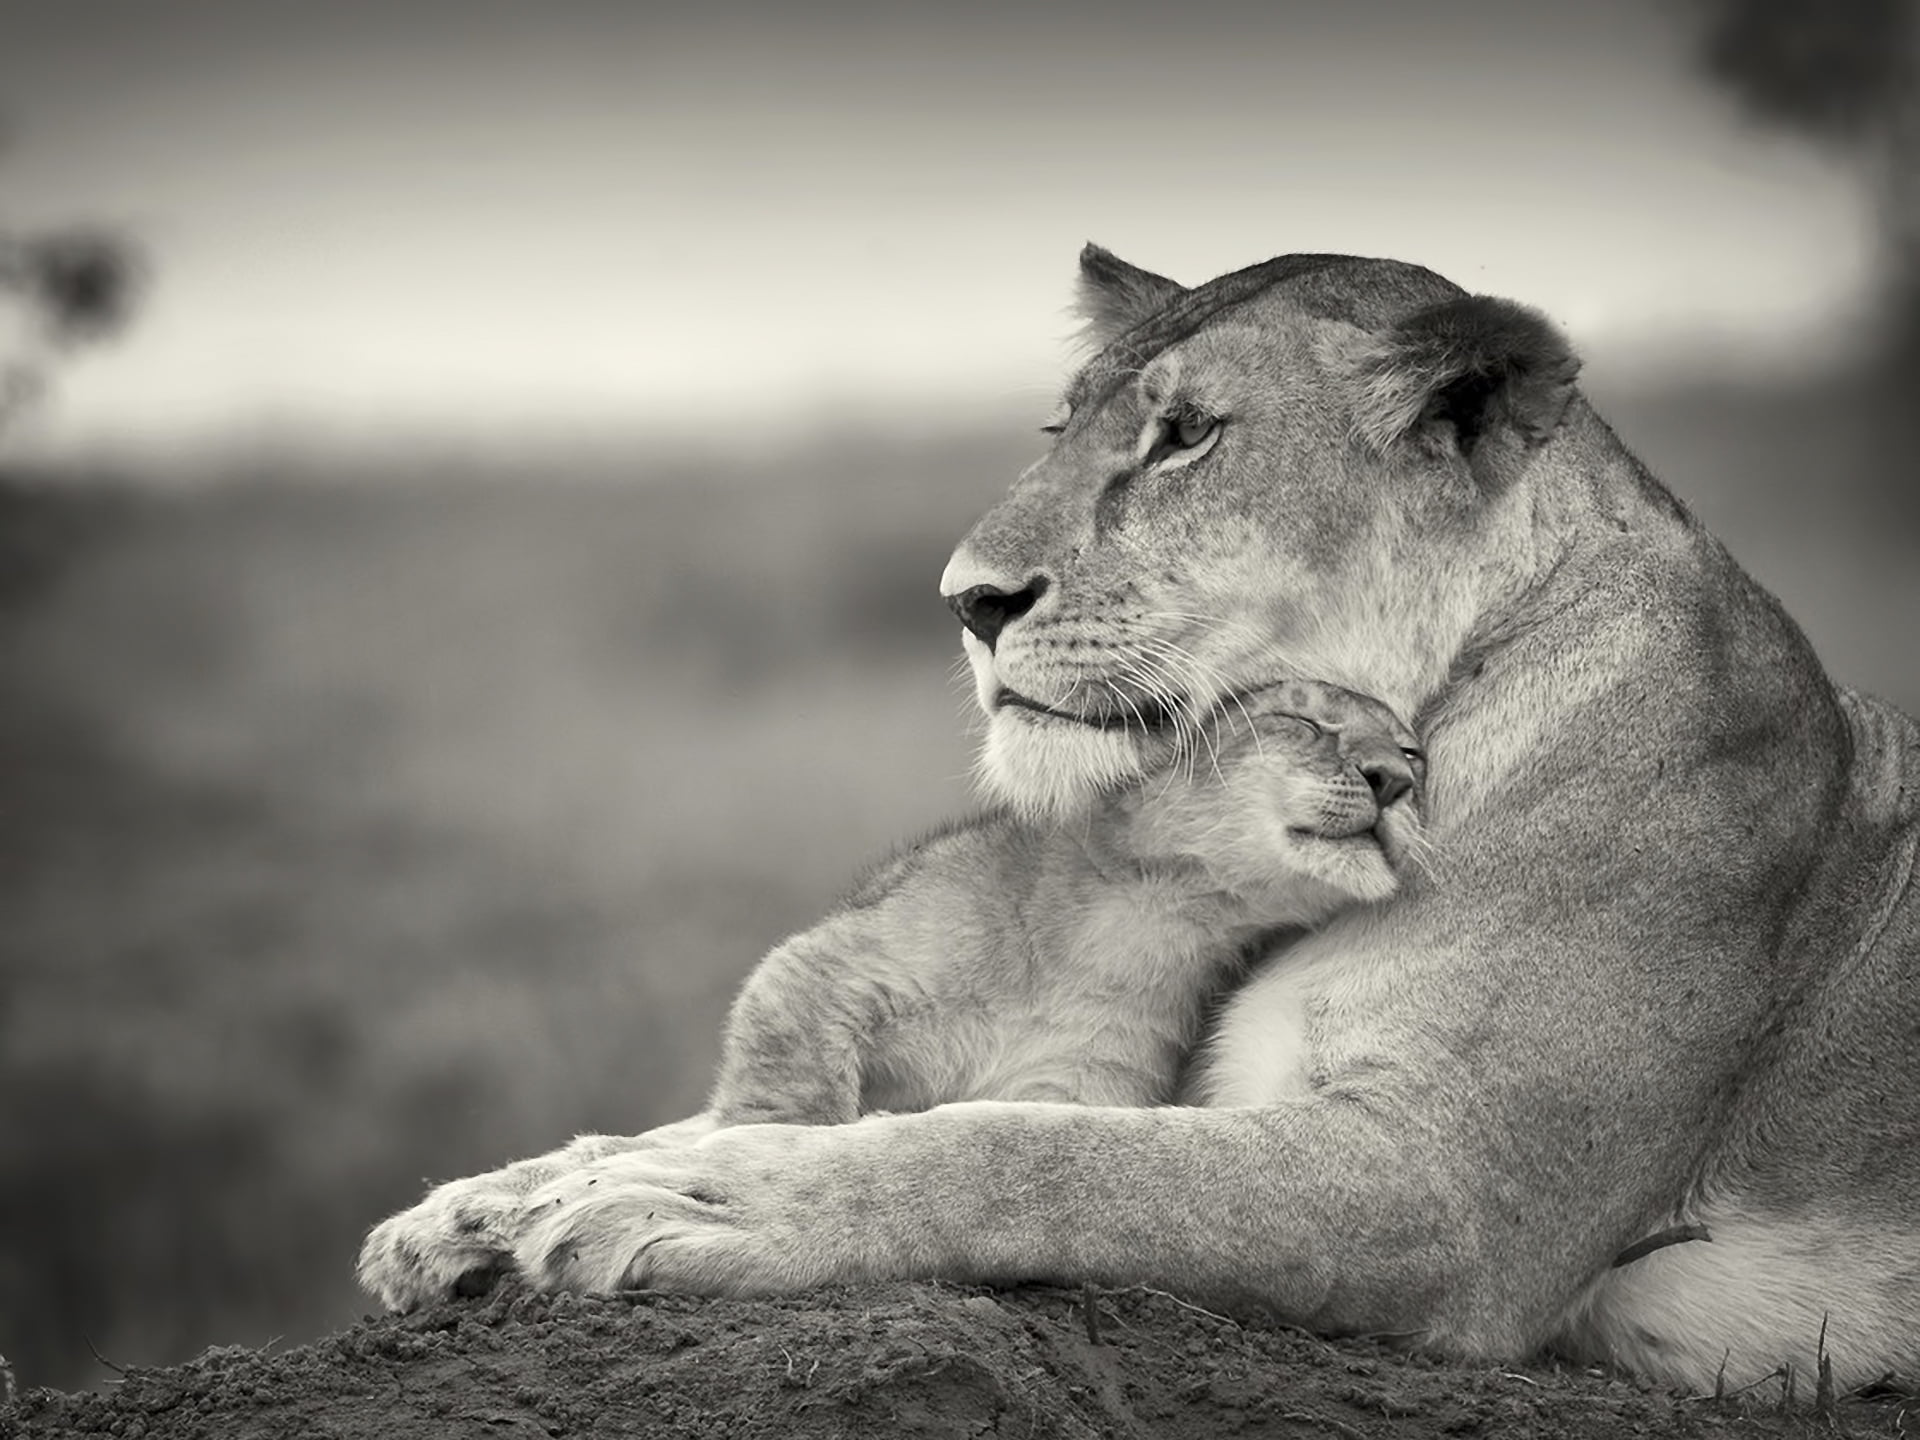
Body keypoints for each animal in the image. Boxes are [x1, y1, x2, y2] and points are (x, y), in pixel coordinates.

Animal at [358, 245, 1920, 1393]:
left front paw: (697, 1204)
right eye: (1065, 431)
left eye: (1185, 439)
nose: (967, 601)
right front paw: (487, 1210)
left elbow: (1032, 1156)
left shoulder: (1457, 1192)